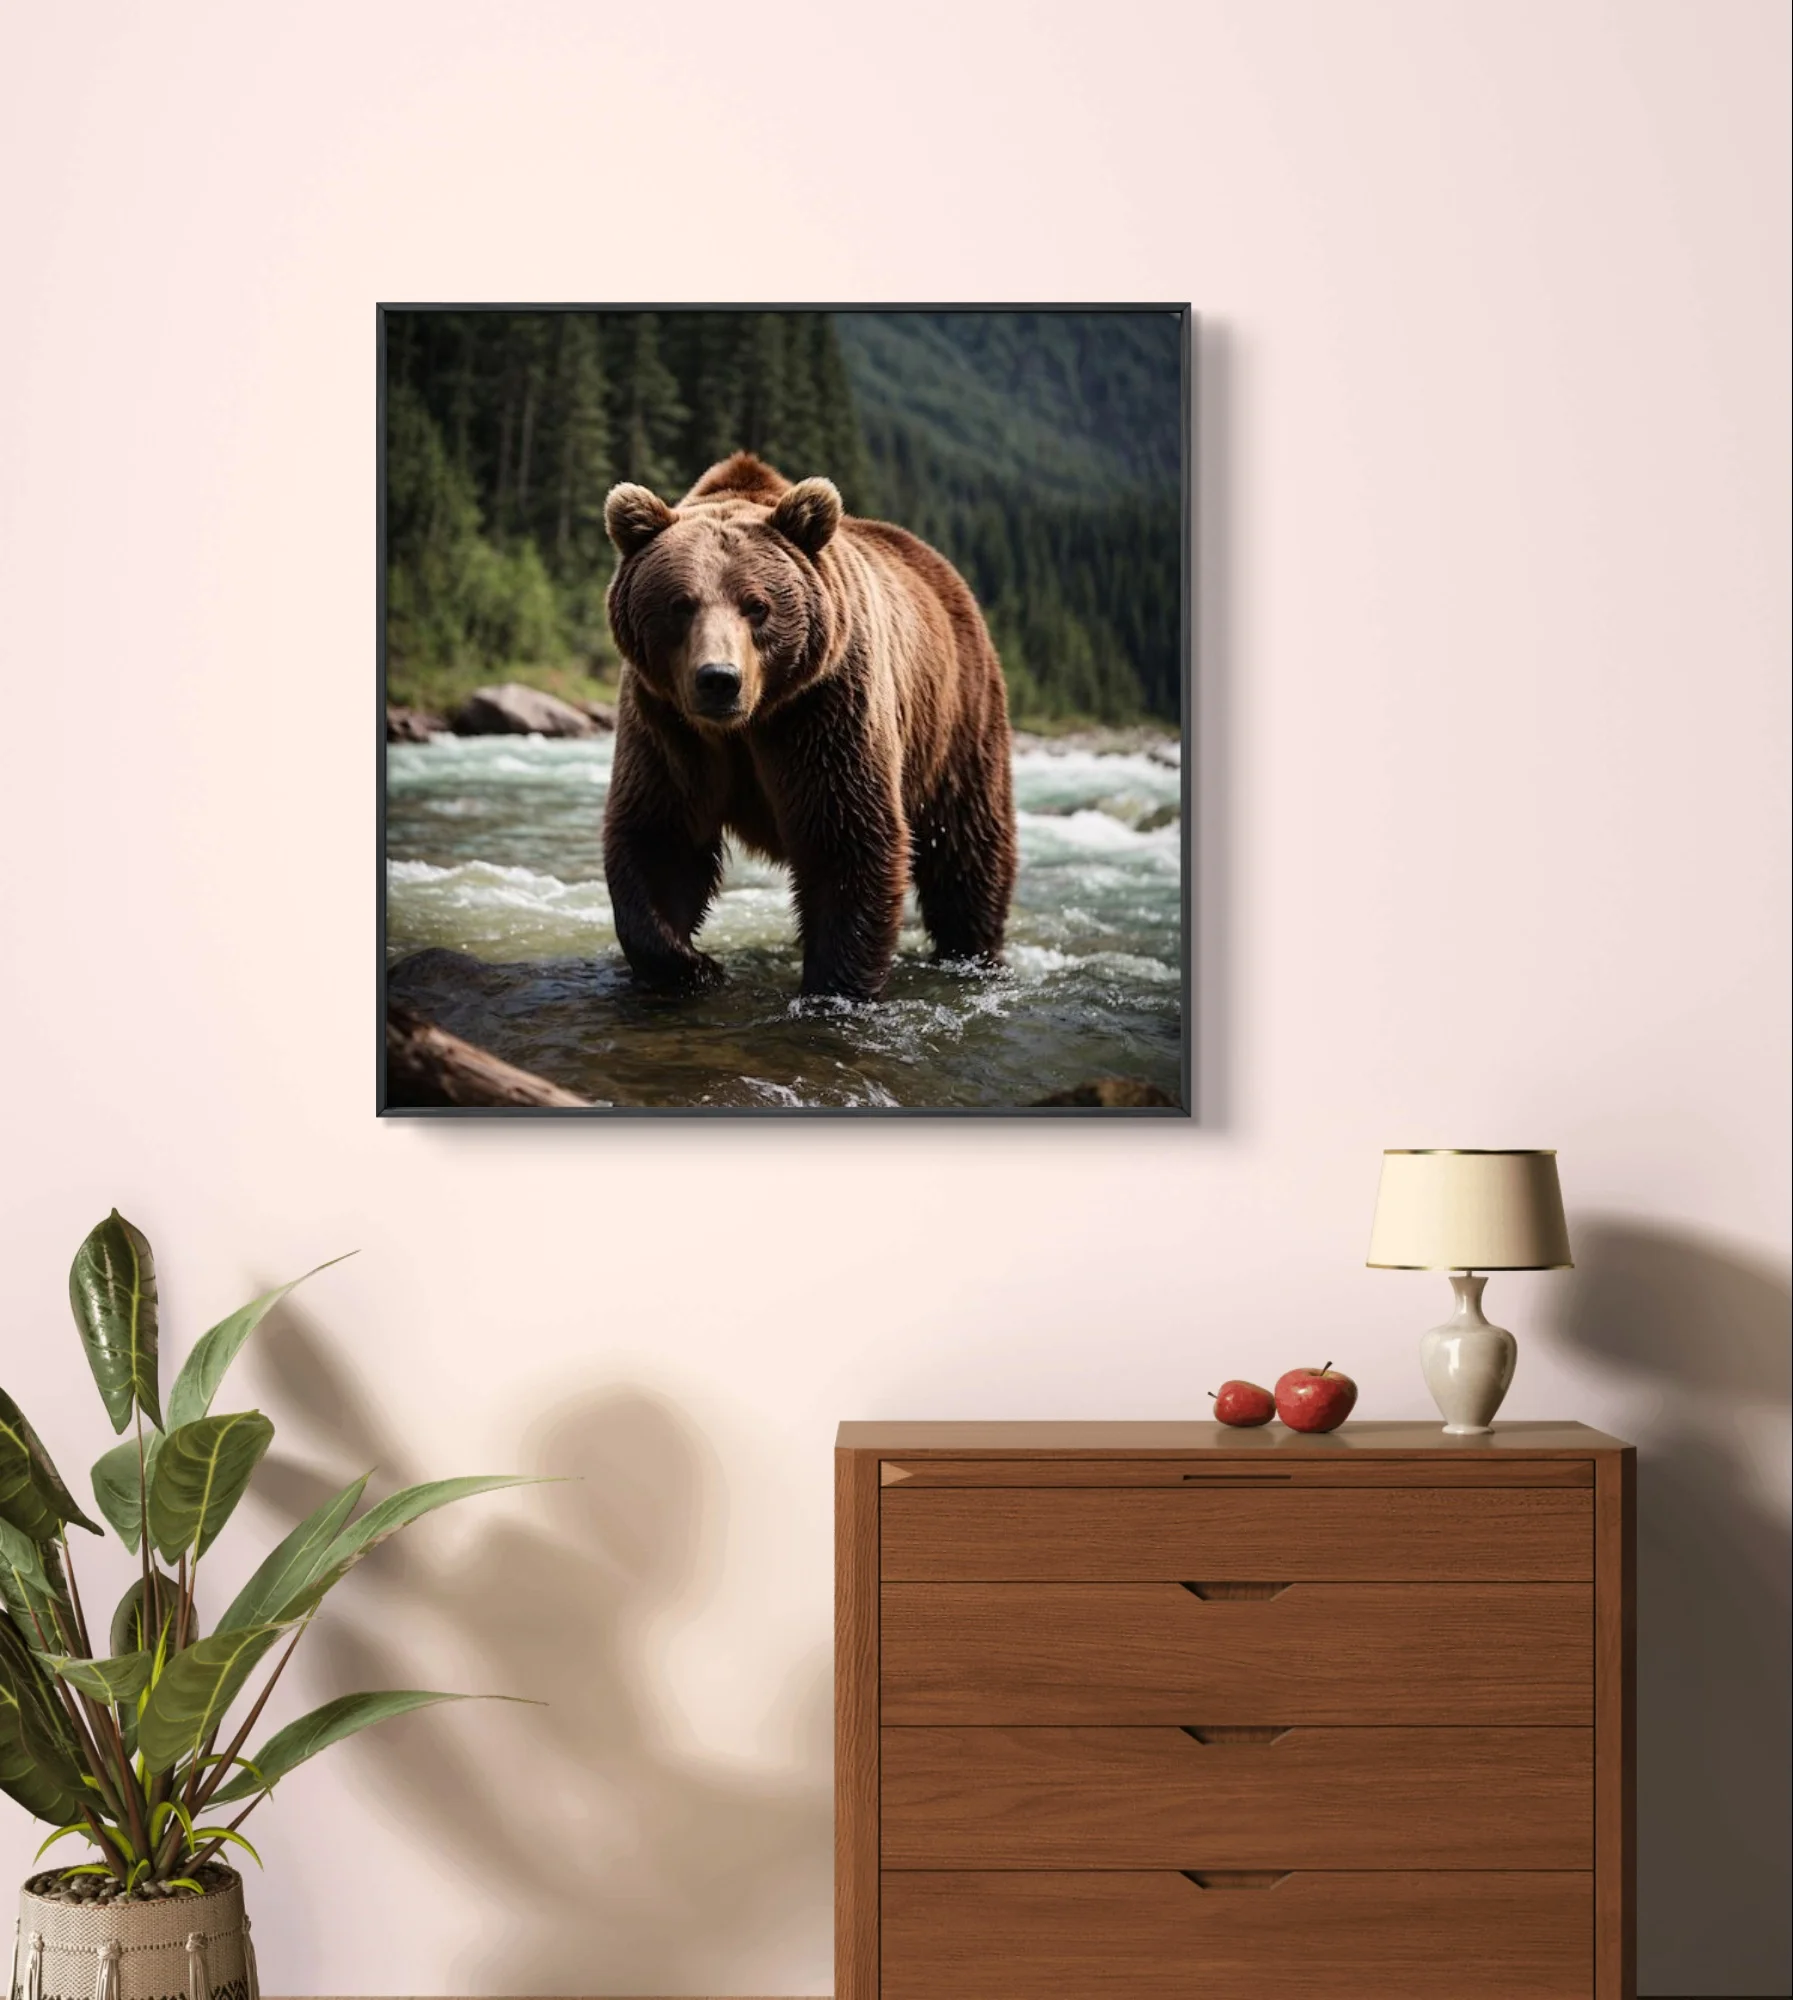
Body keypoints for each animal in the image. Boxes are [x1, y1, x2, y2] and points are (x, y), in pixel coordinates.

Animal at [600, 452, 1016, 1000]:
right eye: (680, 604)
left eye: (757, 605)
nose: (719, 679)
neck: (746, 726)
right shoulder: (668, 727)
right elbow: (660, 835)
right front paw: (695, 966)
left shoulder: (823, 710)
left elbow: (846, 838)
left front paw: (832, 988)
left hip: (957, 718)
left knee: (967, 846)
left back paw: (972, 950)